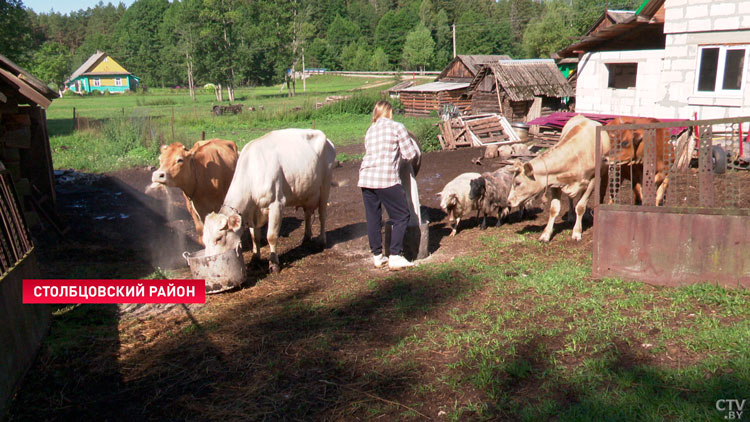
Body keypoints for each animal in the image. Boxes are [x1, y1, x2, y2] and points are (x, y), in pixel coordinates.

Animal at [203, 129, 338, 274]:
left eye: (219, 238)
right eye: (204, 240)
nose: (210, 263)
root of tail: (324, 137)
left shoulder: (276, 204)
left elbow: (271, 236)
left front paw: (274, 263)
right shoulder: (253, 212)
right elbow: (255, 237)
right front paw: (255, 259)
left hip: (325, 185)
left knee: (322, 215)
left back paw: (321, 242)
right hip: (307, 191)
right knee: (307, 215)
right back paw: (306, 238)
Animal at [508, 113, 612, 242]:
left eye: (518, 183)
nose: (508, 202)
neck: (575, 155)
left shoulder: (591, 181)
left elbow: (581, 206)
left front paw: (577, 232)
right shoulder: (555, 182)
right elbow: (554, 209)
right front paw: (546, 234)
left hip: (604, 171)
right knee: (571, 198)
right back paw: (571, 216)